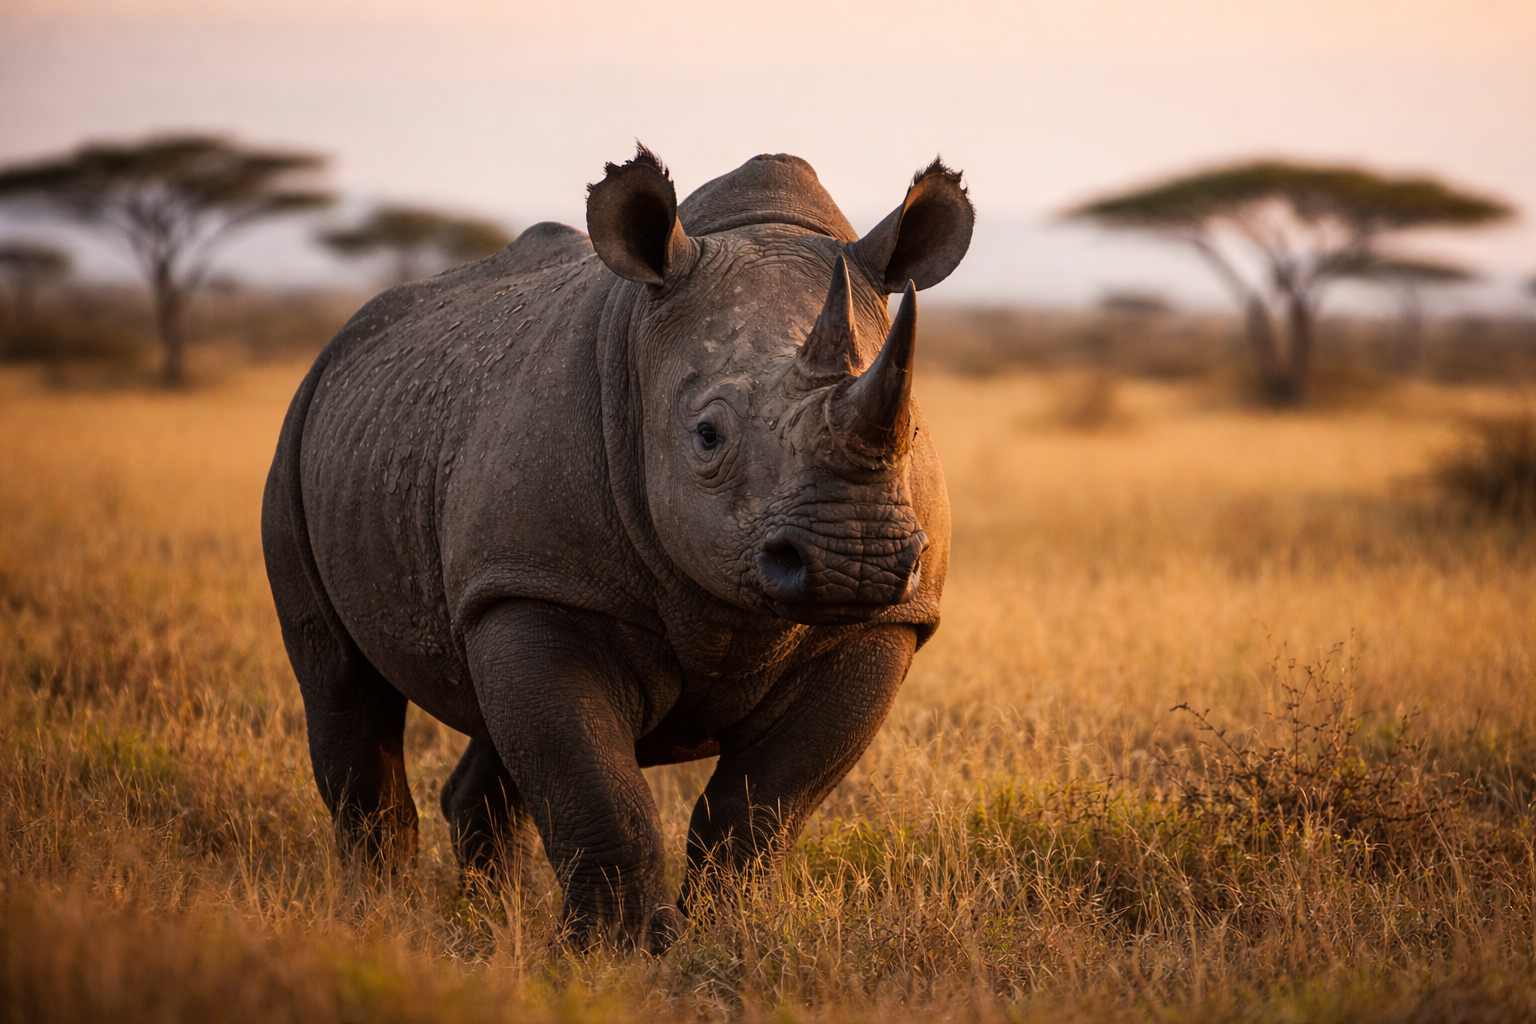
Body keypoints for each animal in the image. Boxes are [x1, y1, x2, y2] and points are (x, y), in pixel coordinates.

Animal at [261, 147, 973, 950]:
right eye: (707, 435)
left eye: (914, 431)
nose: (854, 558)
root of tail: (347, 338)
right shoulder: (544, 581)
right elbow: (597, 787)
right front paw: (623, 952)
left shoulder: (886, 622)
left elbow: (763, 807)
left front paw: (729, 939)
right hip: (303, 427)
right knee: (341, 681)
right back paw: (380, 919)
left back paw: (487, 915)